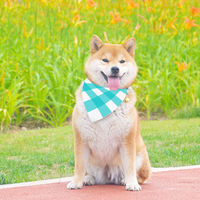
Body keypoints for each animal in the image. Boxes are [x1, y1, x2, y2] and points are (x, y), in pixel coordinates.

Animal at [66, 35, 151, 191]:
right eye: (105, 60)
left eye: (122, 61)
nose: (115, 68)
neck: (106, 97)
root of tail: (109, 177)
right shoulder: (81, 141)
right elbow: (79, 166)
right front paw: (76, 182)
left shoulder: (127, 141)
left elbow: (129, 167)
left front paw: (131, 183)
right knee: (89, 172)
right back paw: (88, 179)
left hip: (141, 154)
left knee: (140, 175)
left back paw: (125, 180)